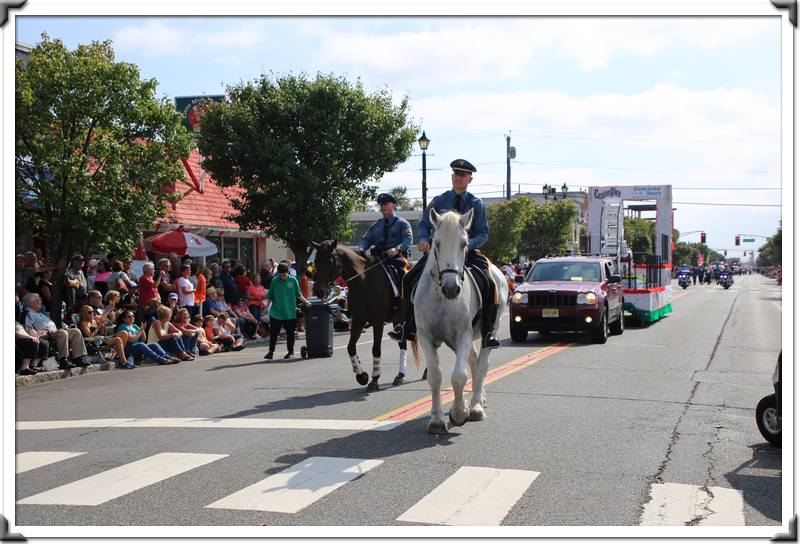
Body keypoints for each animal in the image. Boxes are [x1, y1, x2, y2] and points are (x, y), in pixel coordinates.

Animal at [310, 239, 410, 392]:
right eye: (316, 260)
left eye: (330, 260)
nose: (318, 291)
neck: (364, 281)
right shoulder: (358, 320)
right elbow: (351, 348)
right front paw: (362, 376)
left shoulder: (378, 321)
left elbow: (376, 349)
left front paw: (374, 379)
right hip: (398, 320)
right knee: (403, 343)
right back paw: (401, 375)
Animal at [412, 208, 506, 434]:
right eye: (436, 243)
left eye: (464, 243)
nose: (452, 288)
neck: (440, 296)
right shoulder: (426, 337)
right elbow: (435, 376)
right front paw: (437, 419)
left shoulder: (463, 335)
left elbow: (459, 376)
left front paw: (460, 412)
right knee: (473, 361)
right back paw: (477, 399)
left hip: (489, 330)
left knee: (482, 365)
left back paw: (476, 406)